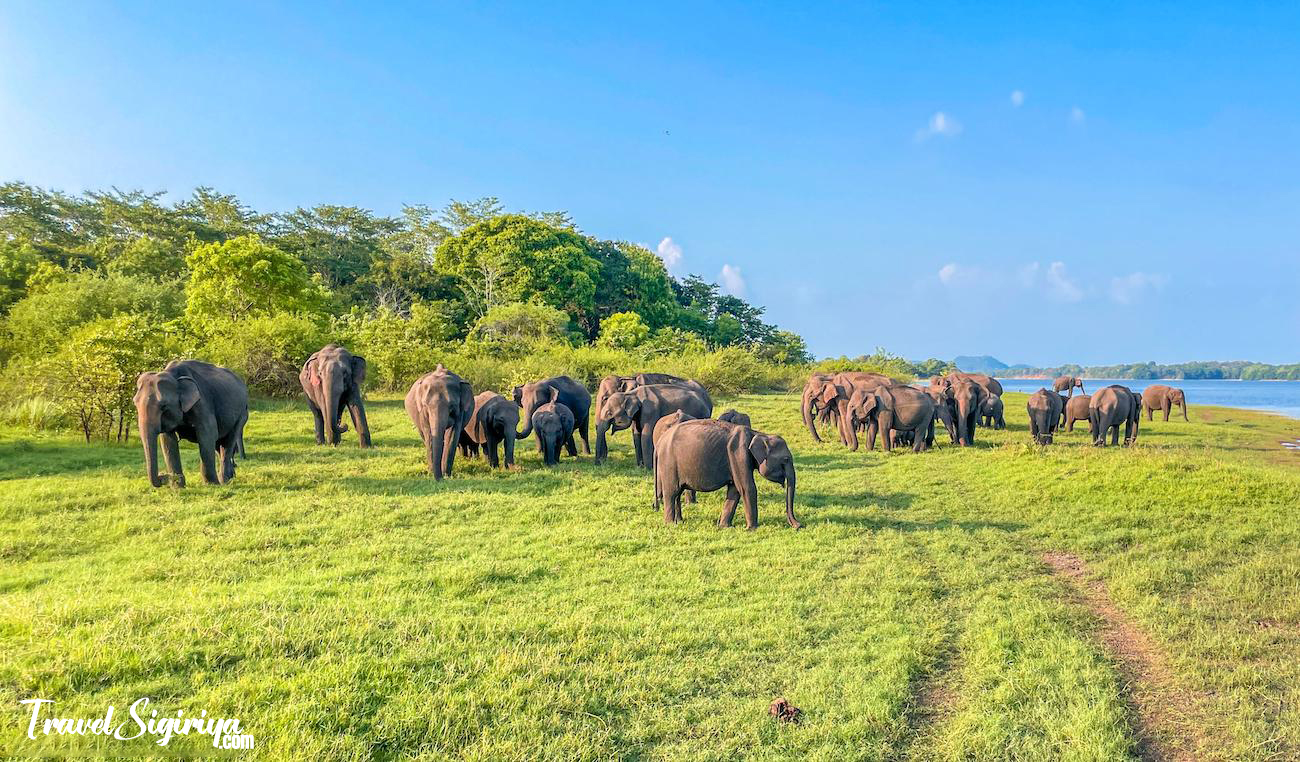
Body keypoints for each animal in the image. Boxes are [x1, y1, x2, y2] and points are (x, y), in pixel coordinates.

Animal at [654, 419, 800, 530]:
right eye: (786, 459)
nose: (798, 526)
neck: (757, 433)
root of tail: (660, 441)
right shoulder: (738, 455)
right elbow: (747, 488)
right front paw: (752, 529)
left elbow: (735, 490)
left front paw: (725, 527)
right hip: (669, 464)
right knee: (671, 493)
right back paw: (670, 524)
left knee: (678, 493)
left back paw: (680, 521)